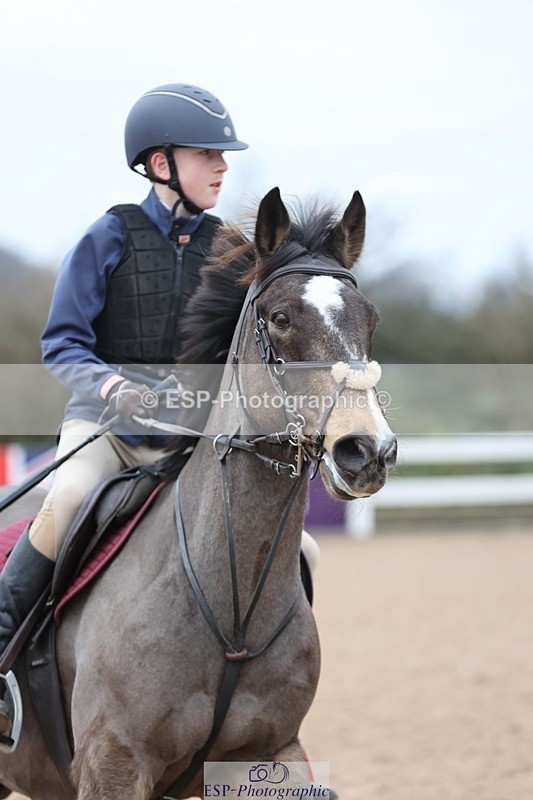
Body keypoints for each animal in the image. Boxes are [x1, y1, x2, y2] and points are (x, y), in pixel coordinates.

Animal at [0, 187, 397, 800]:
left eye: (370, 318)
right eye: (280, 318)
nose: (367, 450)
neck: (231, 611)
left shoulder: (270, 752)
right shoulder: (113, 763)